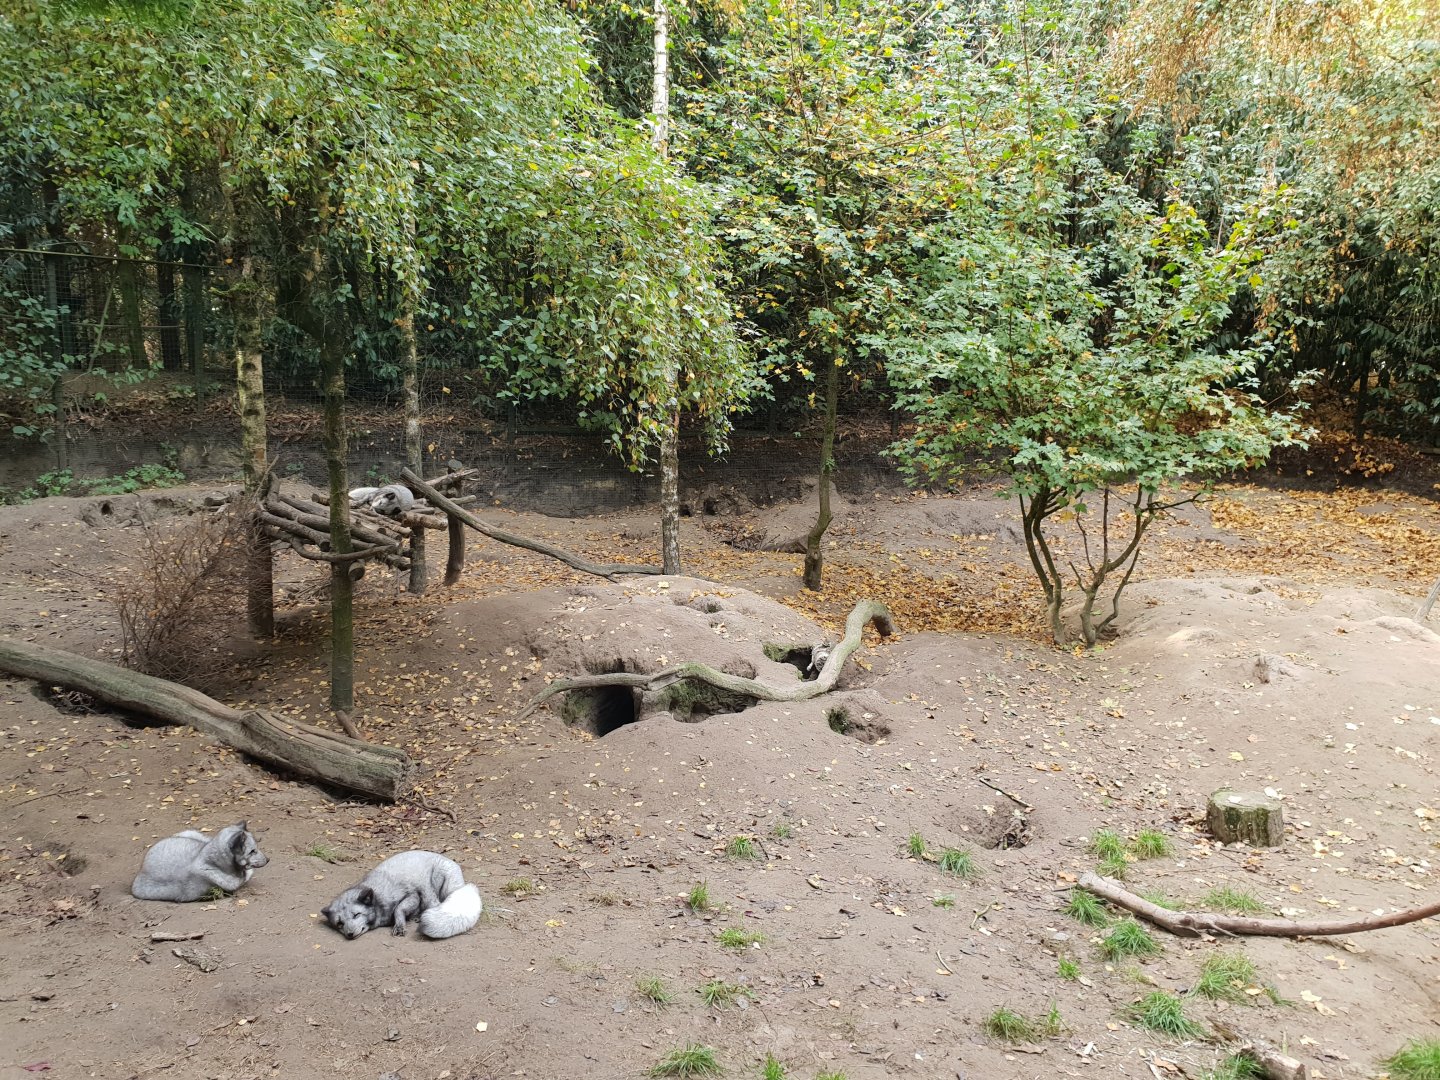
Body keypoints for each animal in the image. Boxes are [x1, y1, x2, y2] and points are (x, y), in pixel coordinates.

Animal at [321, 850, 482, 940]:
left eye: (356, 915)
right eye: (339, 923)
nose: (349, 934)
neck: (377, 896)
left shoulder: (413, 896)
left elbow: (398, 909)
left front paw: (399, 926)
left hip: (437, 881)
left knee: (437, 903)